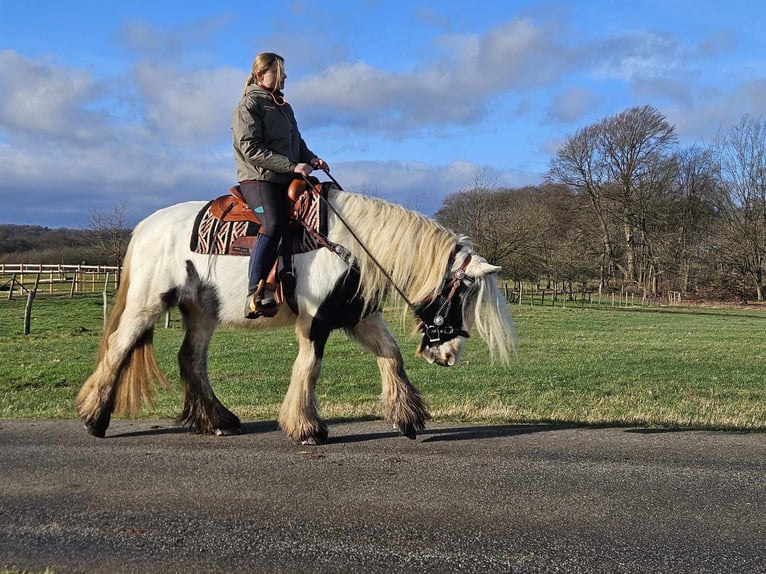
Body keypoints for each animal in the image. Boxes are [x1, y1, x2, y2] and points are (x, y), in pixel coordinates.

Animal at [76, 184, 516, 446]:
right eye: (460, 295)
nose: (450, 355)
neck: (349, 247)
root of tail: (145, 227)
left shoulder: (359, 317)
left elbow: (391, 356)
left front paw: (408, 418)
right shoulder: (316, 321)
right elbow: (309, 367)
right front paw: (306, 428)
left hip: (201, 310)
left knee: (191, 359)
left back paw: (217, 420)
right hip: (148, 303)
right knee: (119, 348)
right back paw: (95, 419)